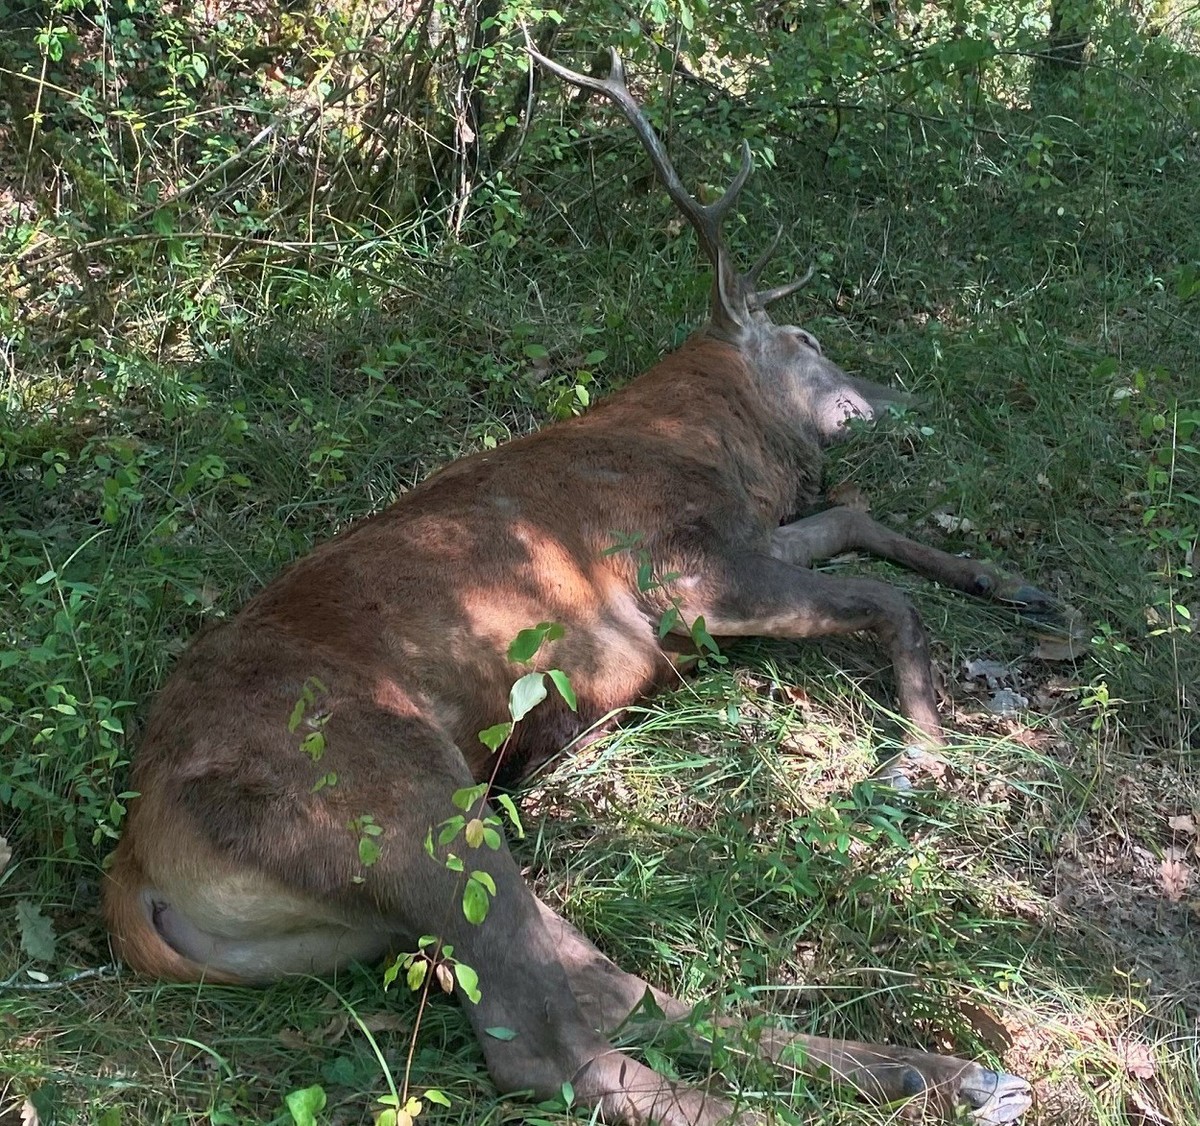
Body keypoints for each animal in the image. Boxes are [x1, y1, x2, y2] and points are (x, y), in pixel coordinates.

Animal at [101, 43, 1057, 1126]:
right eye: (809, 339)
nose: (901, 395)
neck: (717, 449)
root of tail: (136, 867)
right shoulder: (680, 573)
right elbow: (887, 598)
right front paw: (915, 761)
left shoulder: (746, 537)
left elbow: (856, 520)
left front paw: (1017, 588)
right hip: (390, 799)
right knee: (548, 1042)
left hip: (386, 889)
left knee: (601, 985)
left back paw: (940, 1069)